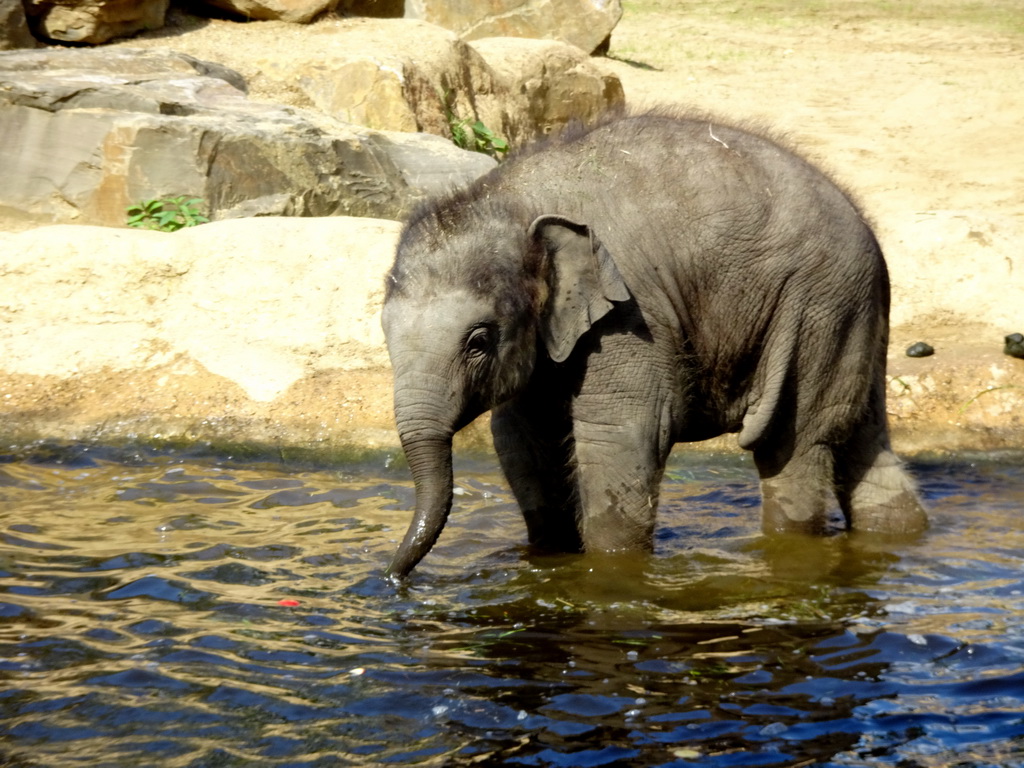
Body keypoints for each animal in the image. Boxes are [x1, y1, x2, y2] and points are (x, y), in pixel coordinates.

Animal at [382, 109, 929, 577]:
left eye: (478, 340)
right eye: (384, 336)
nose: (392, 579)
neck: (514, 202)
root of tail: (866, 224)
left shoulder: (630, 312)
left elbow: (620, 439)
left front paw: (612, 573)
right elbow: (521, 442)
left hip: (819, 306)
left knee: (791, 445)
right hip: (853, 319)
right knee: (863, 440)